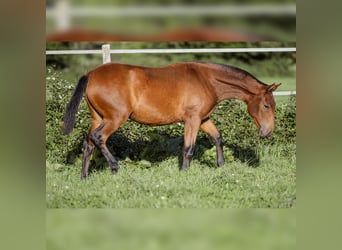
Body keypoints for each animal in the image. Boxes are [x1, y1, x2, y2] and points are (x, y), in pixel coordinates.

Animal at [63, 61, 280, 179]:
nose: (267, 133)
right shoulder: (192, 119)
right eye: (266, 106)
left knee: (88, 142)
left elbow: (218, 138)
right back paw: (115, 167)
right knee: (98, 137)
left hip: (98, 117)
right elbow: (188, 148)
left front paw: (221, 166)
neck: (207, 80)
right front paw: (184, 173)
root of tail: (91, 74)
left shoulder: (203, 119)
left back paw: (84, 177)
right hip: (115, 118)